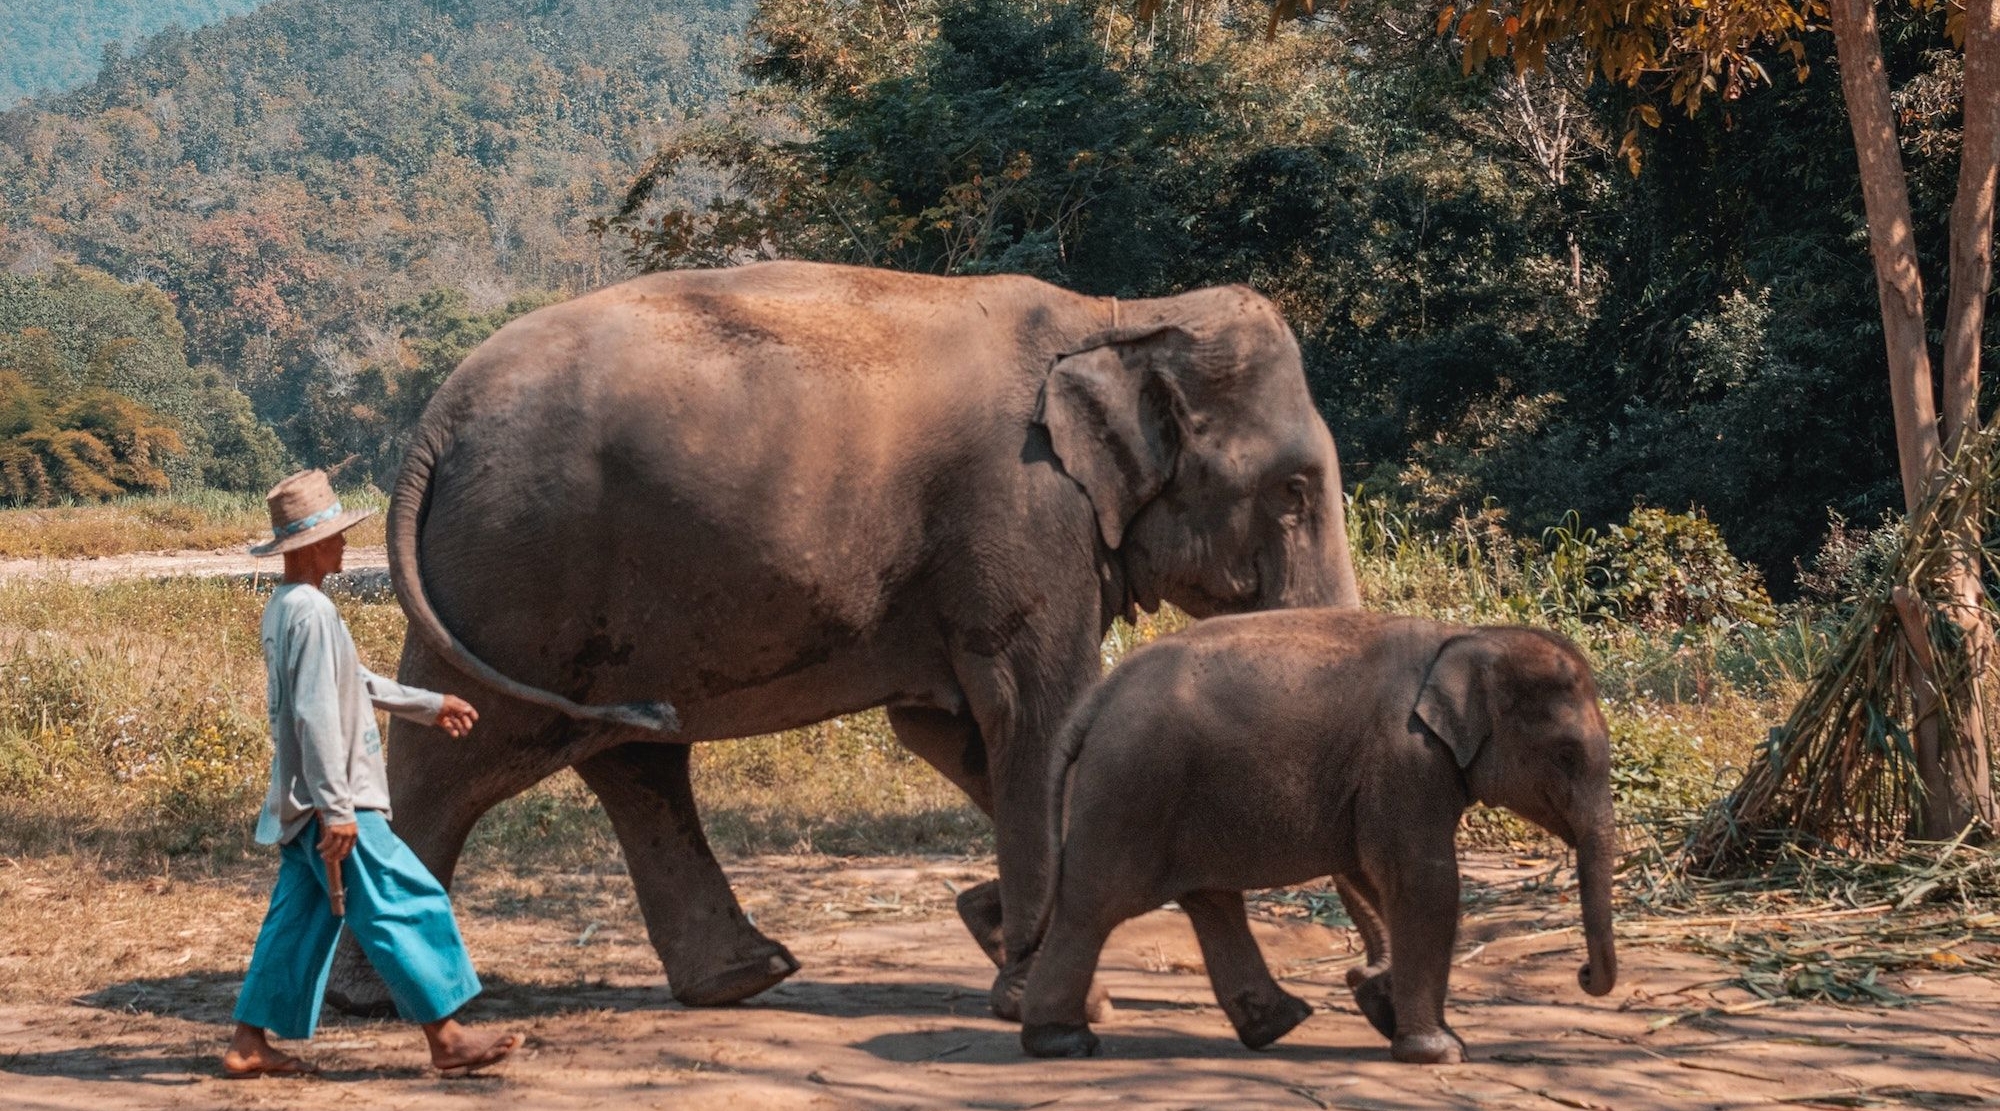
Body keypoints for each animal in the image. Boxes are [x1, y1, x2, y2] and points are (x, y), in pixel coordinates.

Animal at [328, 261, 1360, 1015]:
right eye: (1294, 492)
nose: (1362, 988)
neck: (1125, 314)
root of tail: (432, 425)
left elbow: (954, 730)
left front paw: (996, 931)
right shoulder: (1022, 516)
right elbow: (1037, 714)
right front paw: (1044, 987)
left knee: (629, 755)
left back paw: (745, 977)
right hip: (520, 574)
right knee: (459, 755)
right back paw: (380, 1001)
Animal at [1024, 611, 1616, 1063]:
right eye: (1568, 754)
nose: (1584, 972)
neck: (1465, 638)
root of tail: (1097, 697)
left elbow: (1373, 874)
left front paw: (1382, 1003)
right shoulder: (1406, 759)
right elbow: (1424, 881)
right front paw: (1441, 1051)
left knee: (1210, 900)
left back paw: (1278, 1025)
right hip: (1131, 789)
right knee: (1094, 905)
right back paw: (1062, 1041)